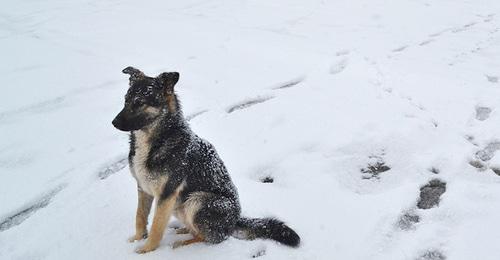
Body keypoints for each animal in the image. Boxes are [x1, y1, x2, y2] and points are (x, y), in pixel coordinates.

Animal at [112, 67, 300, 254]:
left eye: (139, 102)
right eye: (126, 100)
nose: (113, 123)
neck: (159, 138)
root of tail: (235, 220)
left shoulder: (166, 194)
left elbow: (157, 225)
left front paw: (147, 249)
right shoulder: (144, 188)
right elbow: (140, 216)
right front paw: (138, 239)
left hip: (197, 201)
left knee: (213, 237)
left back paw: (183, 243)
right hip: (180, 205)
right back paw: (183, 230)